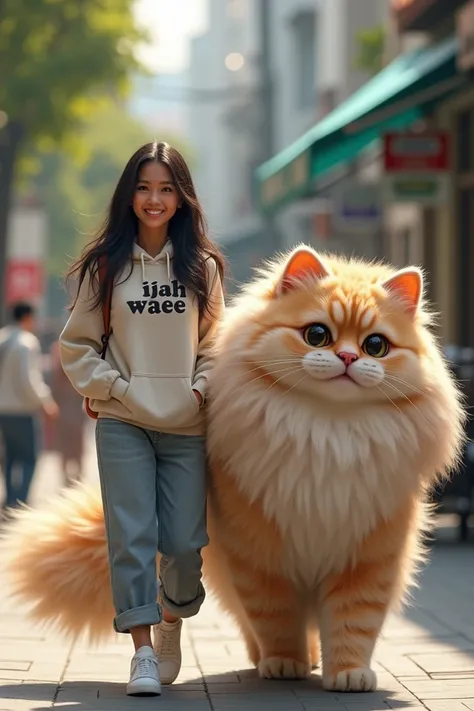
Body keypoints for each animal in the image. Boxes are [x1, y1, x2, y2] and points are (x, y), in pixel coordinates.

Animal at [0, 248, 464, 692]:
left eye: (376, 346)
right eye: (317, 335)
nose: (349, 357)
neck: (327, 430)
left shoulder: (370, 554)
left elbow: (354, 622)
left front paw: (349, 675)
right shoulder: (260, 557)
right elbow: (276, 619)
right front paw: (285, 664)